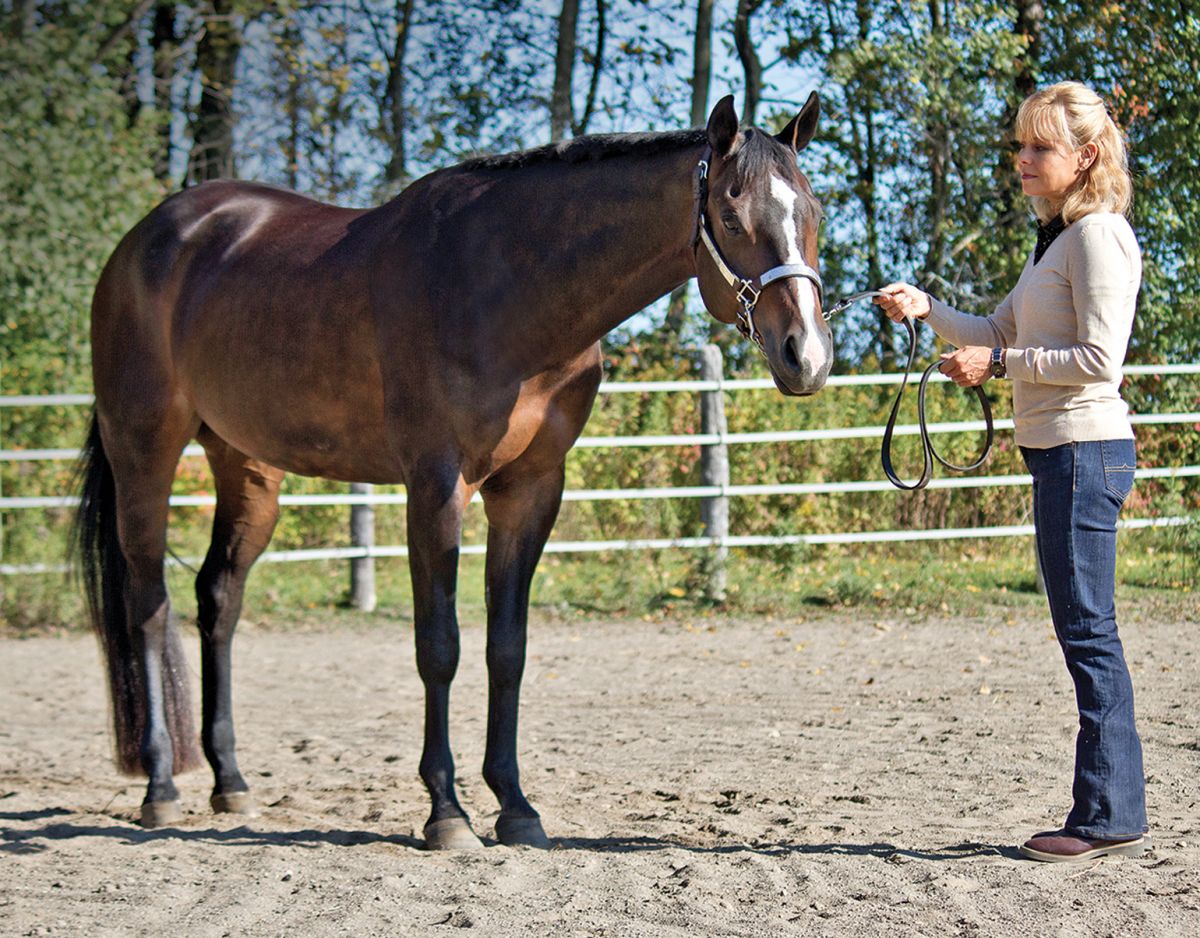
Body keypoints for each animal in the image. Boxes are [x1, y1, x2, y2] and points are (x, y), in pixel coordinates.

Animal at [73, 93, 832, 850]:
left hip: (246, 466)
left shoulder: (531, 491)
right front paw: (447, 812)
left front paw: (515, 806)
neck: (507, 288)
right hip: (144, 452)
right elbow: (439, 646)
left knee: (219, 600)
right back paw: (161, 787)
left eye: (815, 211)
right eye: (731, 217)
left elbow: (507, 648)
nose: (808, 355)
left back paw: (230, 782)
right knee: (147, 606)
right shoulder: (436, 488)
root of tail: (147, 240)